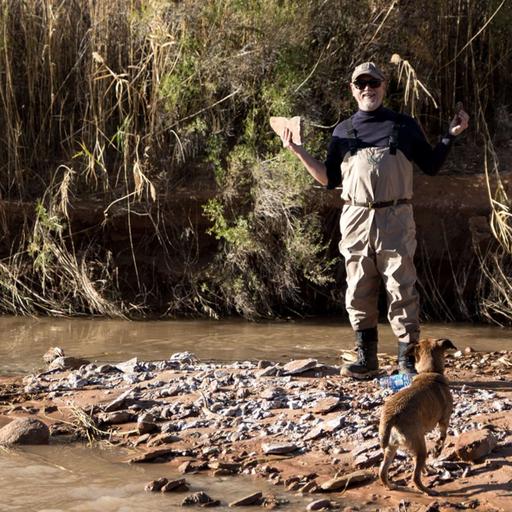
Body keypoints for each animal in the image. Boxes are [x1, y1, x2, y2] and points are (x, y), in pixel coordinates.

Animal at [378, 338, 458, 494]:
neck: (429, 371)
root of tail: (392, 415)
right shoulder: (444, 420)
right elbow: (442, 437)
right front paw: (437, 451)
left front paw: (427, 469)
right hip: (419, 447)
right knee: (415, 478)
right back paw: (428, 491)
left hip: (392, 447)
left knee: (382, 472)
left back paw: (391, 486)